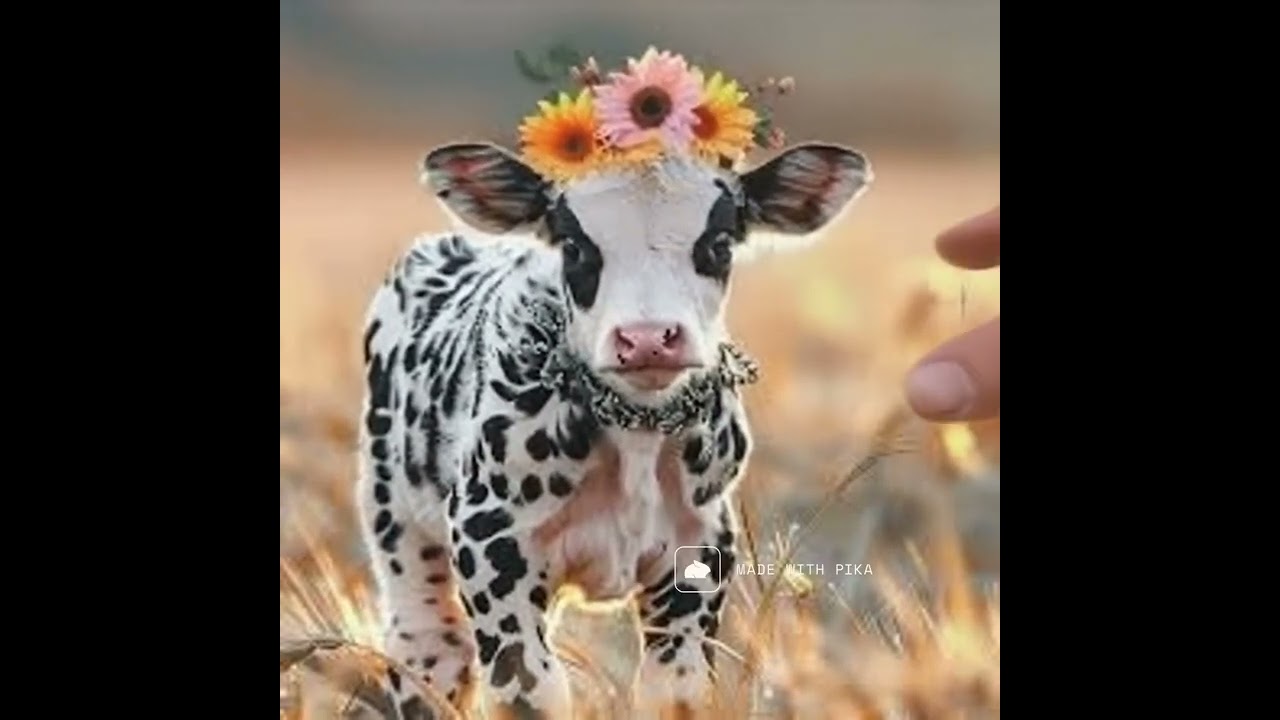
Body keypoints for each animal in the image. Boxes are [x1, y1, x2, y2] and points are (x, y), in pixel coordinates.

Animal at [356, 140, 871, 719]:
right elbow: (530, 692)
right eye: (575, 247)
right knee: (428, 645)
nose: (648, 339)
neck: (637, 435)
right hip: (398, 522)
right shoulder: (489, 544)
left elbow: (675, 692)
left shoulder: (700, 556)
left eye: (718, 243)